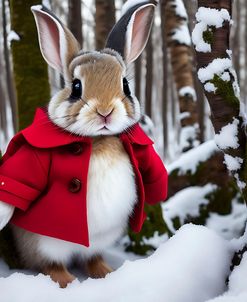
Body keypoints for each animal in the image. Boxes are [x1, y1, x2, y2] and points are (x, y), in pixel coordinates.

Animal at [0, 0, 168, 288]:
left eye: (125, 85)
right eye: (76, 87)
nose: (105, 111)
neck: (98, 139)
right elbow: (19, 178)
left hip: (98, 241)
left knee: (91, 257)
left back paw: (105, 272)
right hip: (45, 243)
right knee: (51, 264)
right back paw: (68, 281)